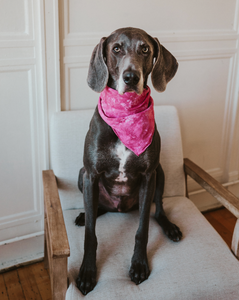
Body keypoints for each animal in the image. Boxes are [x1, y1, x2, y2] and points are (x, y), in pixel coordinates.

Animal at [75, 27, 182, 296]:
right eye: (116, 49)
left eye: (145, 49)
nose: (131, 77)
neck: (126, 114)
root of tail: (120, 208)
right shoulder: (91, 174)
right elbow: (91, 234)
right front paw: (87, 272)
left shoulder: (148, 175)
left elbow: (142, 229)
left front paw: (139, 265)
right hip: (82, 175)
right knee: (96, 208)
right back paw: (85, 214)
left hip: (160, 173)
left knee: (158, 209)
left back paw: (169, 226)